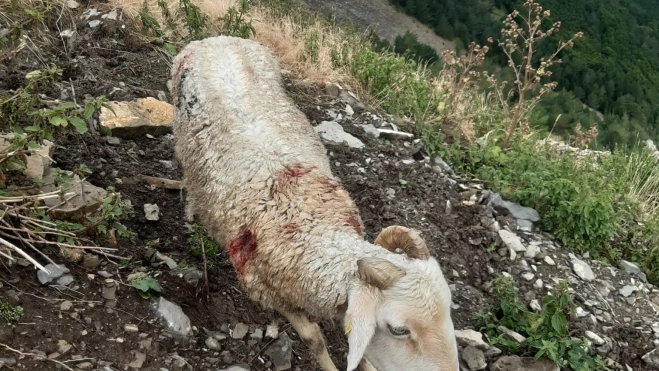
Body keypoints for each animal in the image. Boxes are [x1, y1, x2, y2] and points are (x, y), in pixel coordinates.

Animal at [170, 35, 458, 371]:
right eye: (399, 329)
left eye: (449, 310)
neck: (307, 223)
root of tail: (218, 37)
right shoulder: (273, 294)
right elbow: (314, 339)